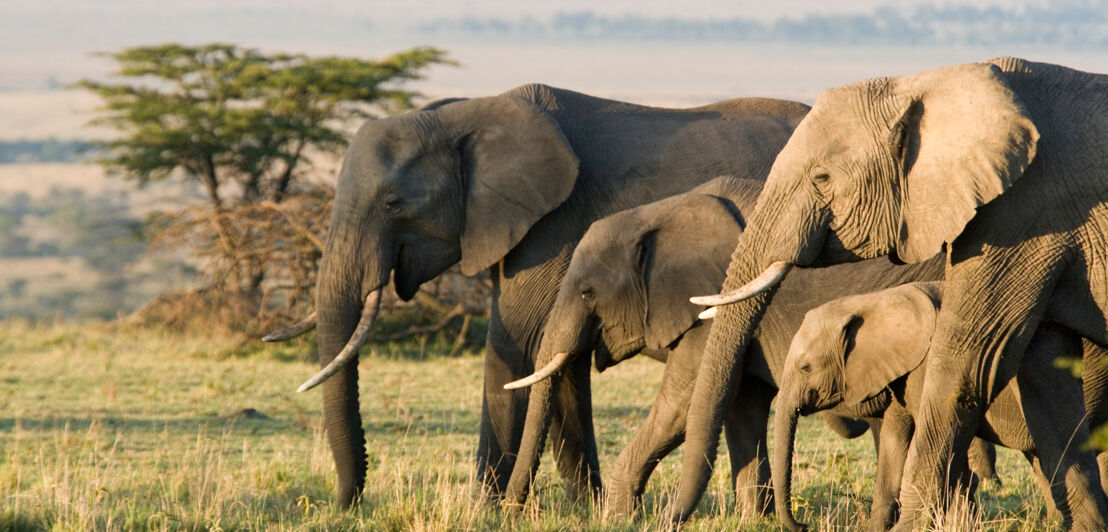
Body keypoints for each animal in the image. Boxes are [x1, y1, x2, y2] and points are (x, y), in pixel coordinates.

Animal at [263, 84, 811, 507]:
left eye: (394, 203)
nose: (345, 505)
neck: (465, 114)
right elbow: (558, 361)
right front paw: (583, 509)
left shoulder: (551, 226)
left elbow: (517, 345)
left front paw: (483, 511)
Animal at [771, 280, 1108, 529]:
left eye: (805, 368)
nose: (803, 525)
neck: (874, 300)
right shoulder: (903, 370)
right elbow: (895, 438)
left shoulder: (929, 365)